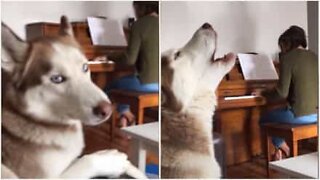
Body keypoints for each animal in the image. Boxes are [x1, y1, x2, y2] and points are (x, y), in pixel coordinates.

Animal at [1, 15, 146, 179]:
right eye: (57, 79)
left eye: (85, 67)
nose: (107, 109)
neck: (42, 121)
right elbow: (86, 160)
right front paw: (111, 159)